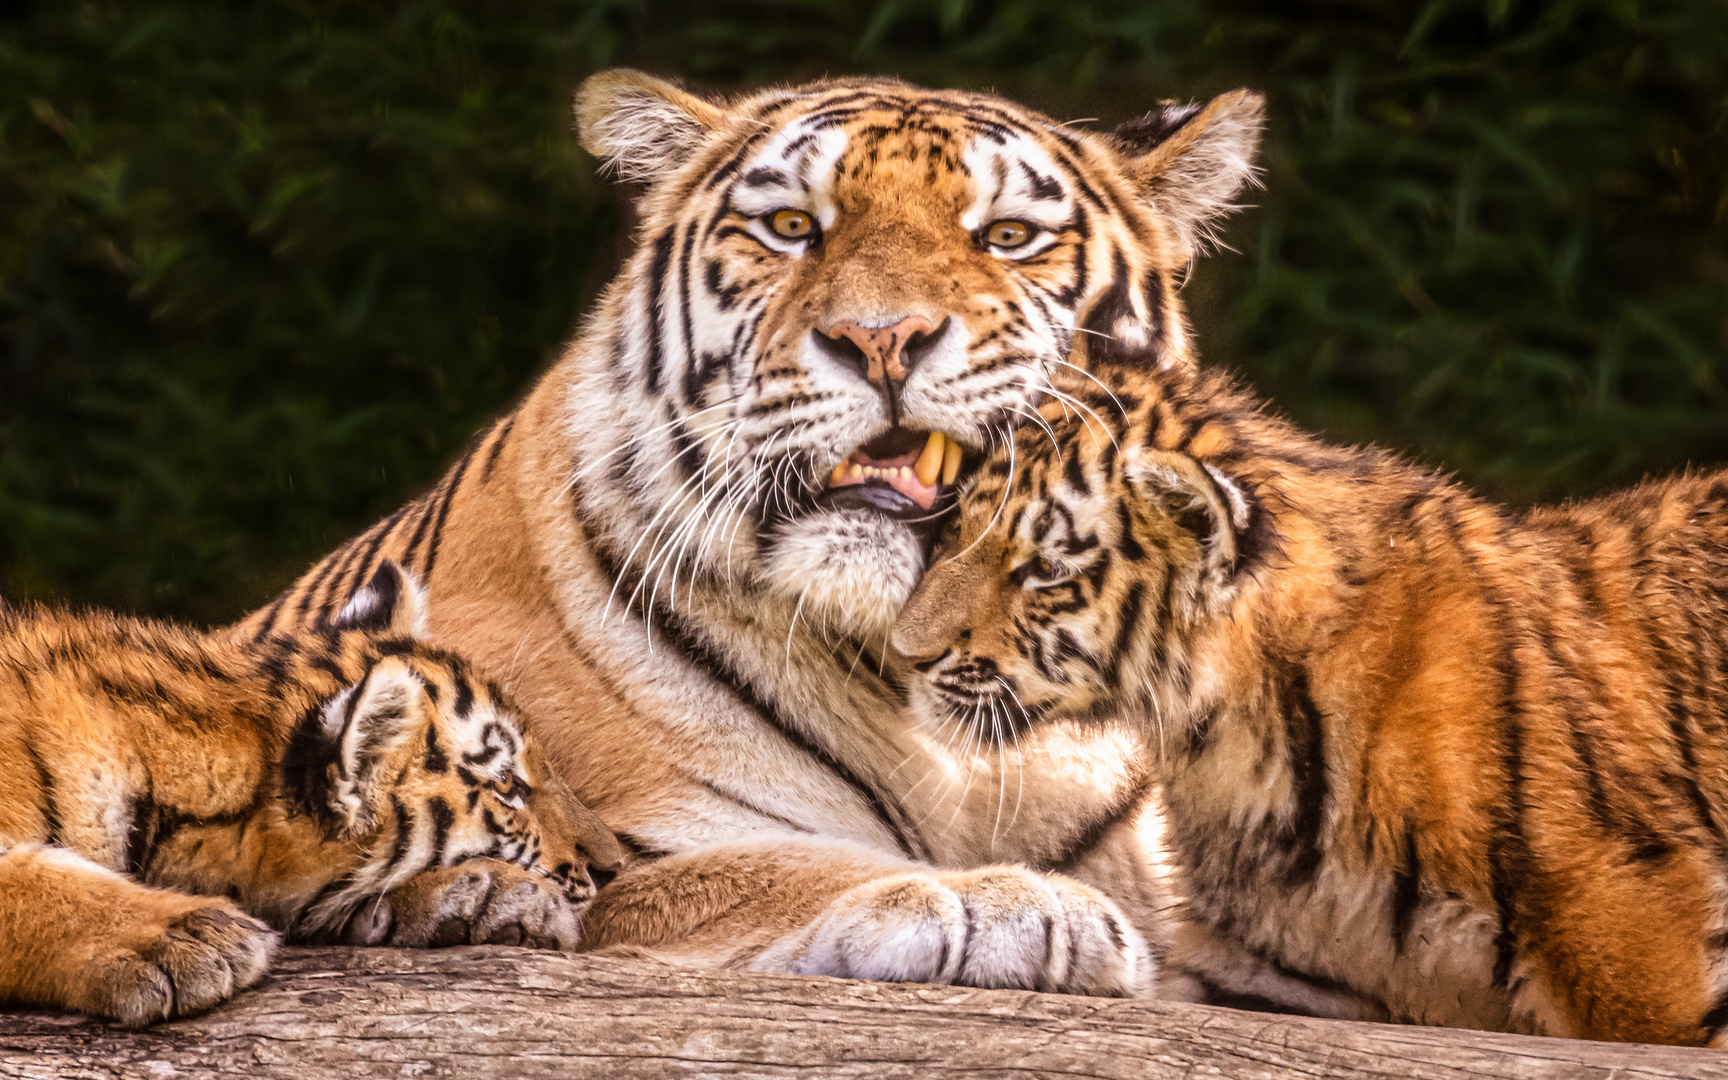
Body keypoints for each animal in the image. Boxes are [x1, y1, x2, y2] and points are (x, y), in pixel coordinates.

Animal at [236, 67, 1264, 995]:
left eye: (1008, 237)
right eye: (792, 227)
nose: (882, 337)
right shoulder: (615, 846)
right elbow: (763, 870)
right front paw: (1008, 901)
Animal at [898, 364, 1728, 1043]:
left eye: (1041, 570)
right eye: (956, 526)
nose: (909, 652)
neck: (1230, 748)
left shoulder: (1640, 945)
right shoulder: (1268, 963)